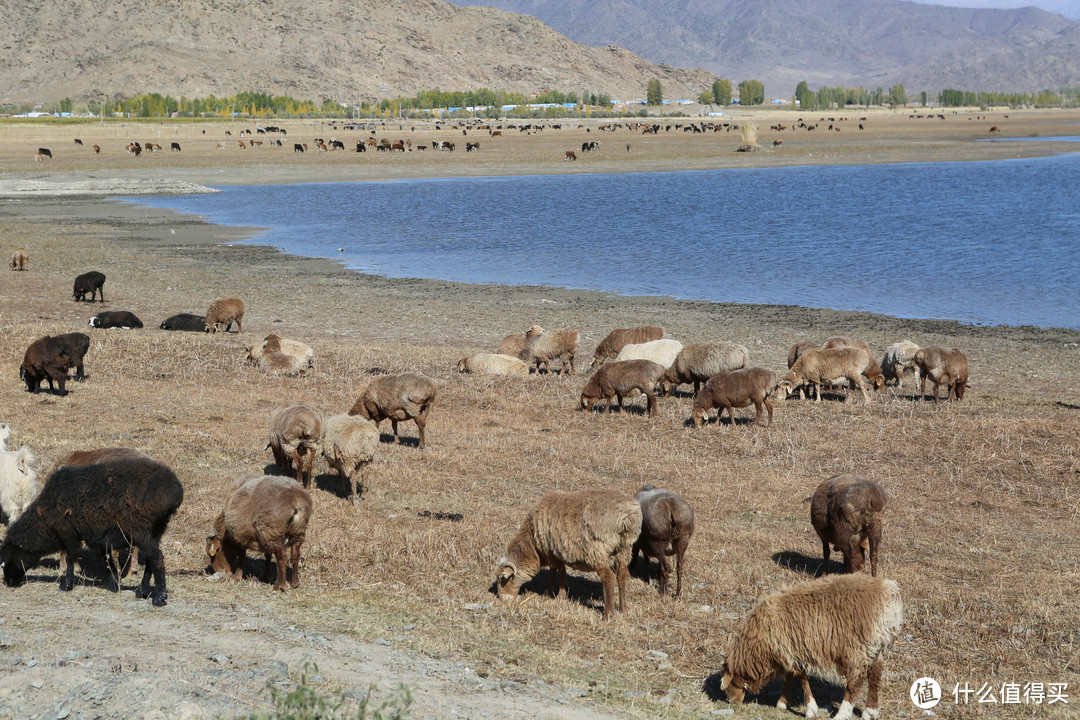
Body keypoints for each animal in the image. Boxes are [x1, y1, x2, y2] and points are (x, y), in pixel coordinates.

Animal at [0, 459, 183, 604]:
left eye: (7, 559)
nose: (8, 582)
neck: (44, 520)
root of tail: (175, 491)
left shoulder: (67, 530)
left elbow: (71, 556)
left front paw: (66, 585)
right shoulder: (99, 536)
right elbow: (107, 559)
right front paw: (114, 584)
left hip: (139, 529)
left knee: (157, 558)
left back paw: (159, 597)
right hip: (157, 530)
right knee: (151, 560)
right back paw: (143, 591)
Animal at [494, 490, 639, 621]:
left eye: (503, 579)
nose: (502, 600)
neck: (533, 545)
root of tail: (626, 517)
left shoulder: (551, 553)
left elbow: (557, 572)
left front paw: (551, 594)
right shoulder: (557, 554)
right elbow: (560, 572)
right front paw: (559, 595)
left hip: (597, 551)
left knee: (608, 577)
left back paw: (608, 614)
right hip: (624, 549)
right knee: (621, 574)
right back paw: (623, 609)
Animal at [721, 574, 907, 720]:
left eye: (729, 683)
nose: (733, 703)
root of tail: (889, 593)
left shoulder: (793, 649)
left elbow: (801, 677)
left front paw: (810, 709)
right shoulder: (790, 649)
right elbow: (791, 675)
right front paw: (783, 702)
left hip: (857, 648)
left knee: (855, 681)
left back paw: (842, 714)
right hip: (877, 645)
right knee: (875, 673)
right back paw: (871, 711)